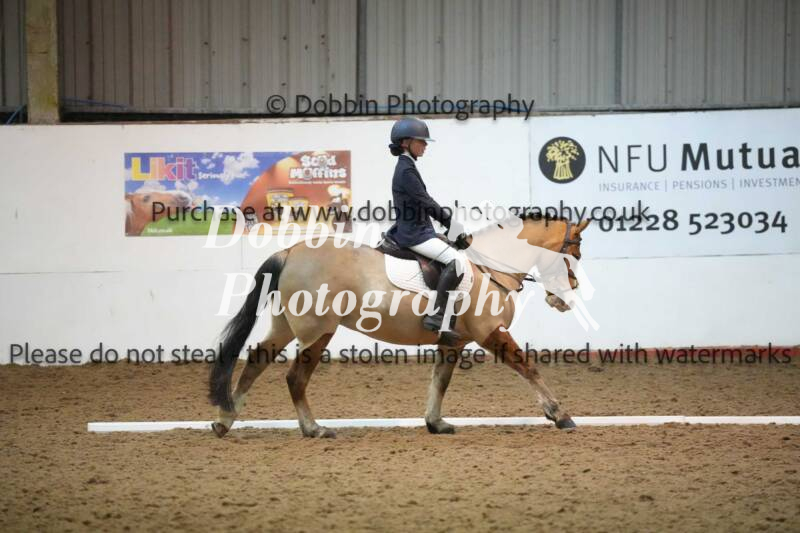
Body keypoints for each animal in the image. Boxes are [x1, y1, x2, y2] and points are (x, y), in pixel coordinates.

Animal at [208, 213, 591, 438]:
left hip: (287, 327)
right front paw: (560, 414)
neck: (489, 268)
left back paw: (225, 420)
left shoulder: (453, 341)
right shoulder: (490, 333)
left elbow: (440, 381)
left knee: (256, 360)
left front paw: (435, 423)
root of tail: (290, 252)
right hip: (318, 331)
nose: (564, 298)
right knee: (294, 377)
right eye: (575, 252)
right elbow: (528, 368)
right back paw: (313, 428)